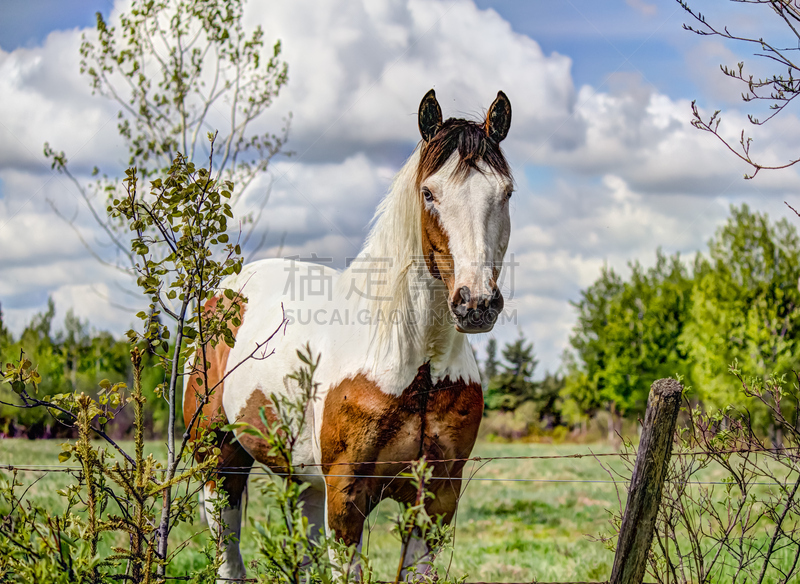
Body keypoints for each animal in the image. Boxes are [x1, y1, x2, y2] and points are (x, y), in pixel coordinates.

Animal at [185, 88, 516, 580]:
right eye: (429, 193)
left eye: (506, 192)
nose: (475, 303)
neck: (418, 362)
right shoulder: (346, 495)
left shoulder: (437, 497)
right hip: (219, 463)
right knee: (229, 560)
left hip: (304, 481)